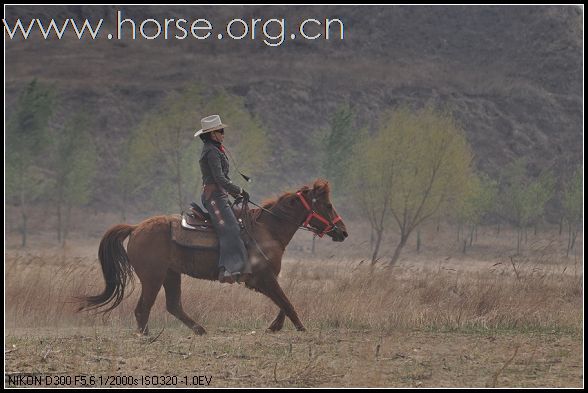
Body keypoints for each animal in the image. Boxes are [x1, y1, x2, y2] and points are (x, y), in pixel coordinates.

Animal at [76, 178, 346, 334]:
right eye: (328, 205)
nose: (343, 231)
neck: (268, 230)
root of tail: (135, 228)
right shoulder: (264, 278)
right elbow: (286, 301)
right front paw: (300, 327)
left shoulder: (264, 280)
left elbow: (283, 302)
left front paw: (275, 327)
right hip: (153, 278)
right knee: (143, 308)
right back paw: (147, 336)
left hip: (171, 275)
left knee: (173, 306)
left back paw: (199, 330)